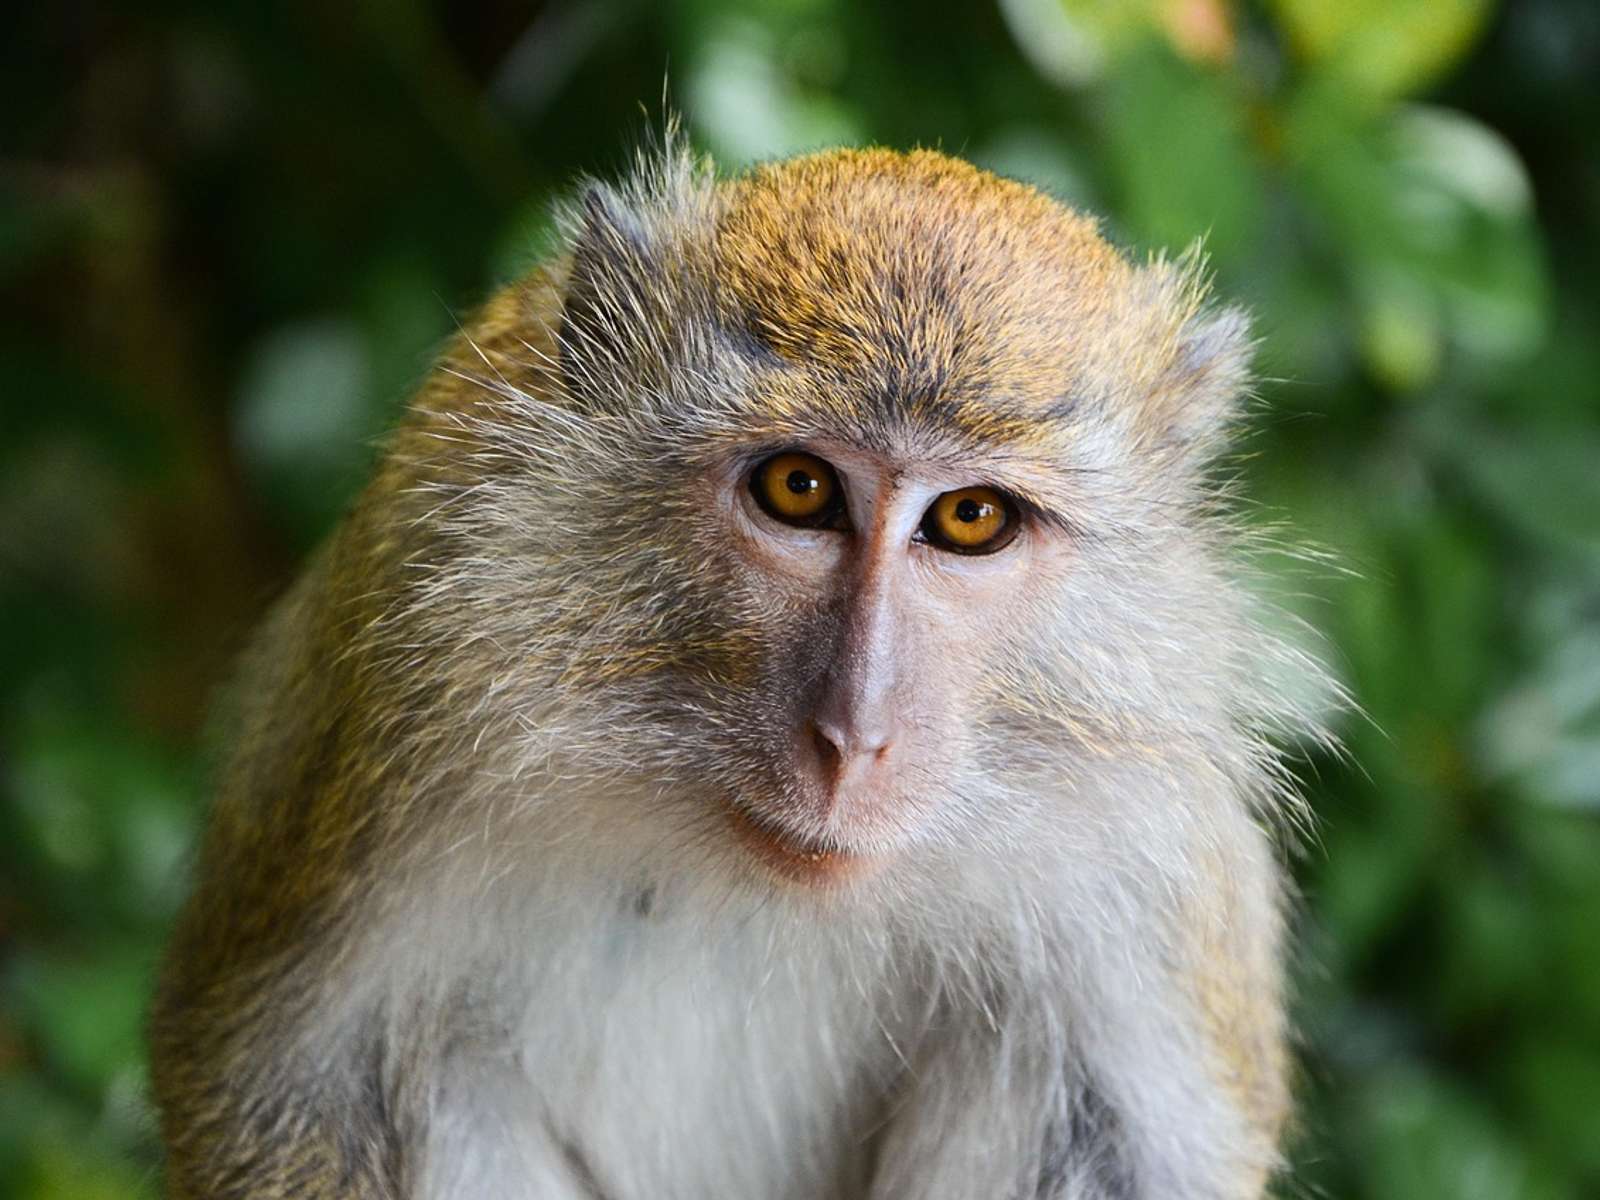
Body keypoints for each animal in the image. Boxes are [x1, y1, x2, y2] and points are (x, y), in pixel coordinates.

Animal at [148, 141, 1330, 1200]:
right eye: (799, 489)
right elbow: (291, 1083)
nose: (854, 738)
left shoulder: (1151, 848)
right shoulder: (409, 678)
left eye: (970, 518)